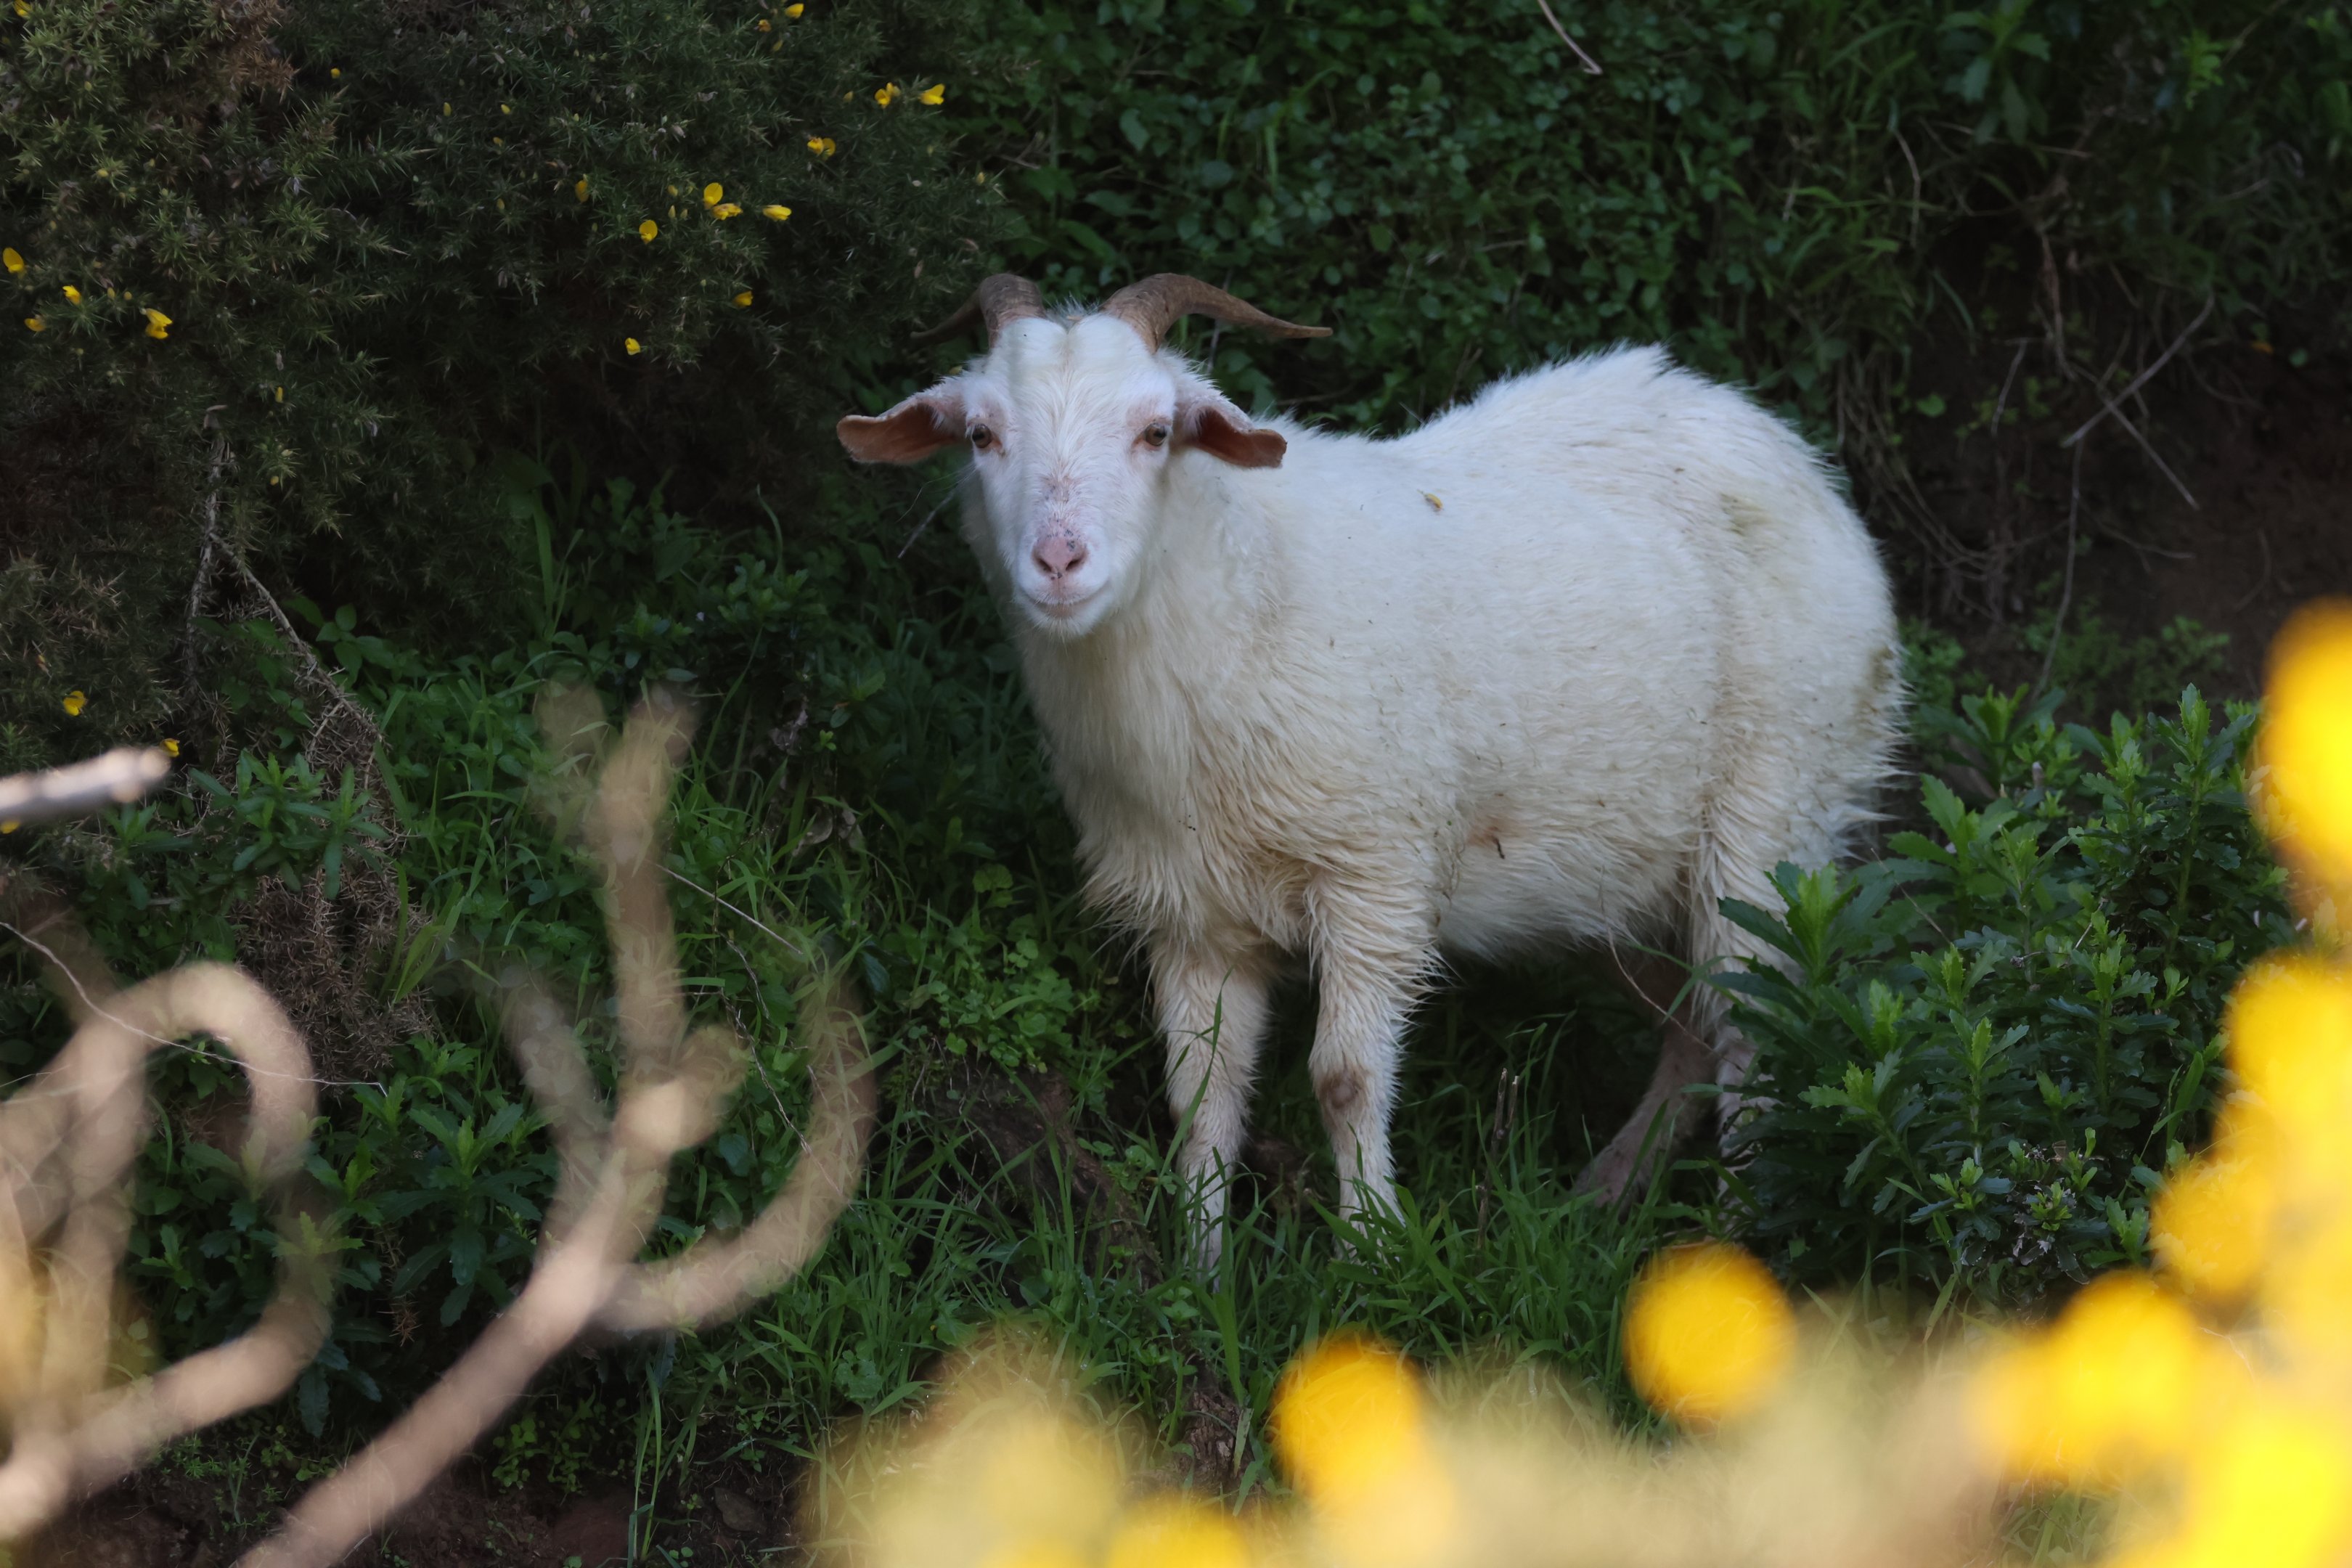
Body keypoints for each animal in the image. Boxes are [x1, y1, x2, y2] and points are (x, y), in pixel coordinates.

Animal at [839, 274, 1902, 1262]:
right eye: (982, 434)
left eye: (1155, 431)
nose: (1059, 562)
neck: (1243, 594)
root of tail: (1787, 453)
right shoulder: (1190, 911)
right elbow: (1201, 1096)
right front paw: (1201, 1271)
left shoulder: (1375, 876)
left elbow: (1344, 1080)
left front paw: (1372, 1254)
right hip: (1622, 866)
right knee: (1689, 1025)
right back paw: (1607, 1194)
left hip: (1772, 820)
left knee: (1751, 1027)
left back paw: (1738, 1229)